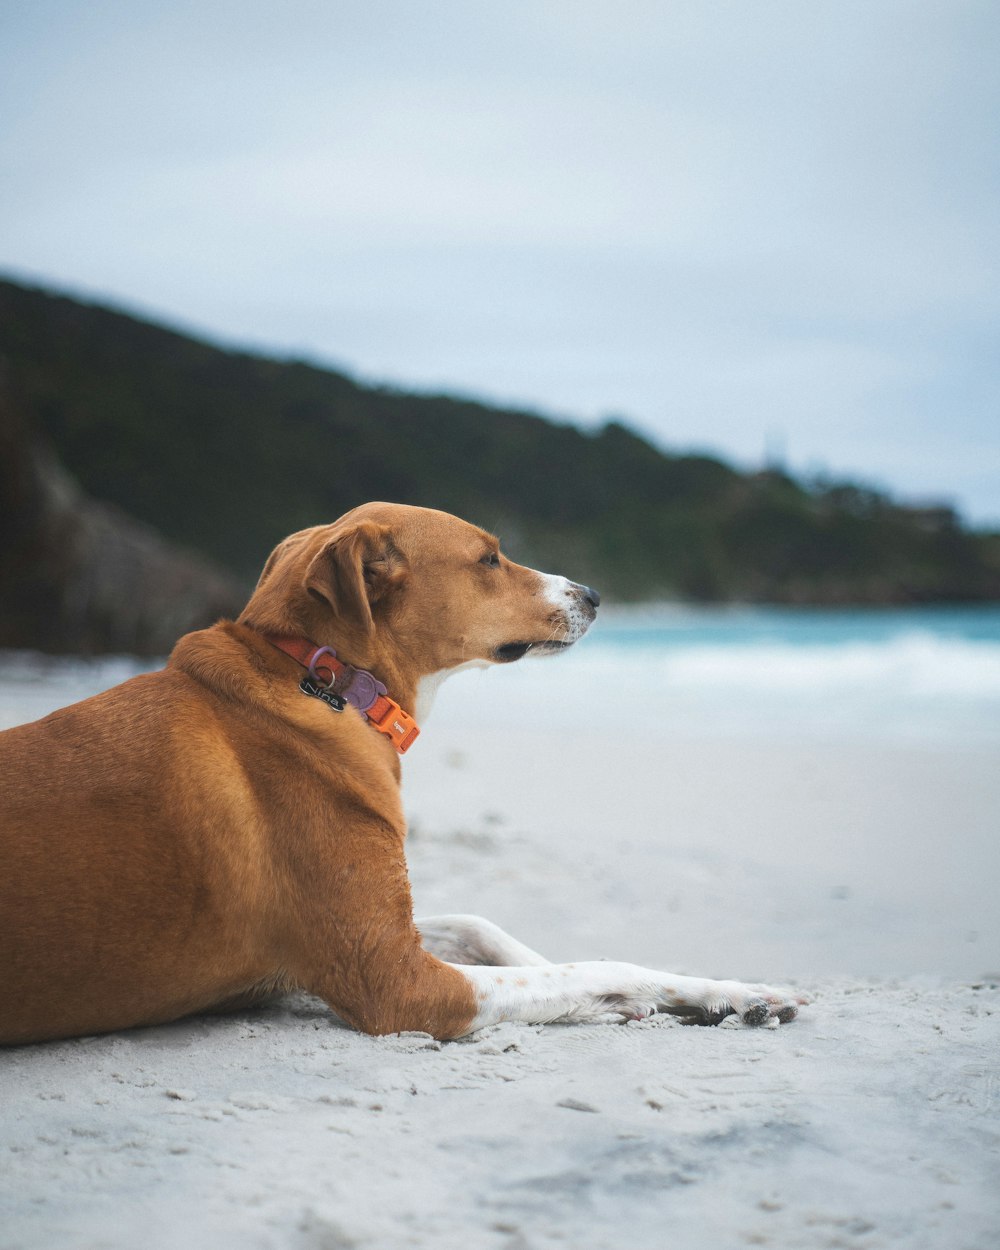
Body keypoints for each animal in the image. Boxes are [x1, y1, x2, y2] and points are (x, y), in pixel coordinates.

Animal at [0, 500, 800, 1045]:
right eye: (489, 558)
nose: (595, 595)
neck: (327, 682)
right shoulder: (396, 982)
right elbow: (599, 965)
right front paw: (641, 993)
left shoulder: (395, 931)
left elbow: (488, 927)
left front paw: (723, 991)